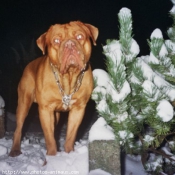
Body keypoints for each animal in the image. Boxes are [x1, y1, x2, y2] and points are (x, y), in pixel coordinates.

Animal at [9, 21, 98, 157]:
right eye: (56, 40)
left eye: (79, 36)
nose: (69, 44)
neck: (68, 79)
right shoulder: (46, 110)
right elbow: (49, 138)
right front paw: (51, 156)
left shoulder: (78, 109)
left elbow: (70, 136)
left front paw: (69, 154)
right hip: (24, 104)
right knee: (19, 127)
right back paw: (15, 150)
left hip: (56, 114)